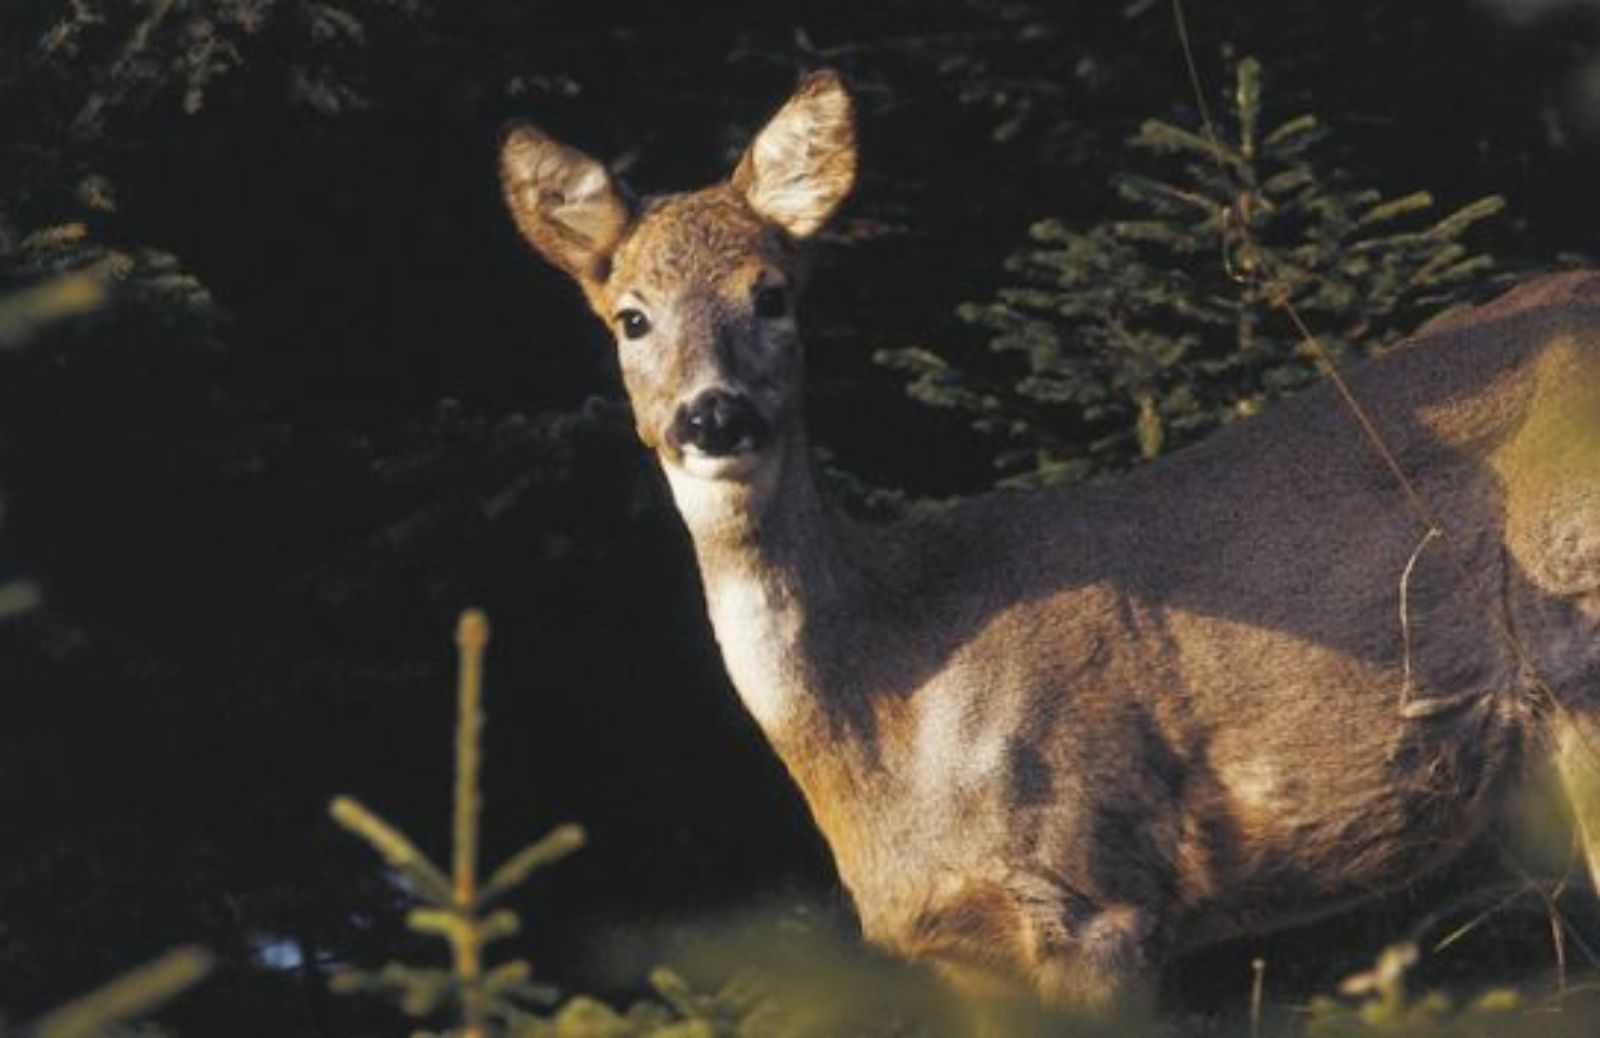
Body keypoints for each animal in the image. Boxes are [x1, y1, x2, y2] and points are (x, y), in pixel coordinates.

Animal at [502, 68, 1600, 1010]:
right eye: (631, 316)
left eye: (770, 294)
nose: (714, 416)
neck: (886, 702)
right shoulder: (959, 943)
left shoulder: (1093, 888)